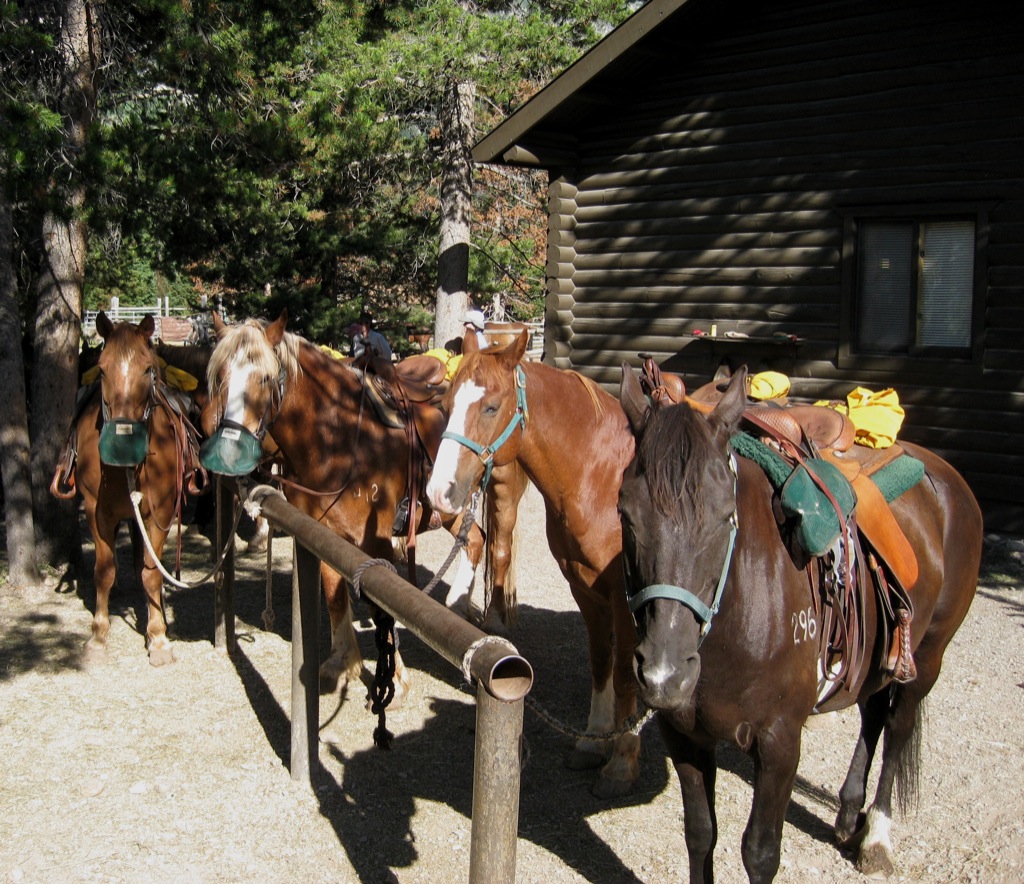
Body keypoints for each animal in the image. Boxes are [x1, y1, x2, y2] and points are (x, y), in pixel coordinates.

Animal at [51, 312, 204, 665]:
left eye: (147, 369)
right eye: (102, 368)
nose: (121, 443)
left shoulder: (160, 512)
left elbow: (151, 571)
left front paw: (158, 637)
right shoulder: (97, 511)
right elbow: (104, 571)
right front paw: (98, 637)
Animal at [200, 310, 523, 701]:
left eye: (265, 377)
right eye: (218, 375)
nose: (226, 452)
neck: (336, 441)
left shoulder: (376, 541)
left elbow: (380, 607)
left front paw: (395, 677)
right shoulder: (321, 533)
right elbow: (333, 593)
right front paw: (342, 661)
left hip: (496, 497)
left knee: (495, 546)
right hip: (450, 508)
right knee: (475, 539)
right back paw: (459, 606)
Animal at [426, 328, 641, 799]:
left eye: (490, 407)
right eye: (445, 404)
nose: (438, 492)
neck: (604, 479)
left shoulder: (624, 599)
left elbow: (624, 672)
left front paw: (621, 763)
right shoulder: (585, 588)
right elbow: (601, 659)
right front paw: (592, 741)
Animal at [616, 364, 982, 882]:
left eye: (725, 516)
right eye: (625, 513)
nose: (664, 676)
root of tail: (948, 478)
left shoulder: (780, 742)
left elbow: (760, 852)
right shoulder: (684, 734)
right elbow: (700, 834)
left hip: (926, 658)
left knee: (899, 726)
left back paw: (877, 836)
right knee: (873, 713)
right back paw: (848, 814)